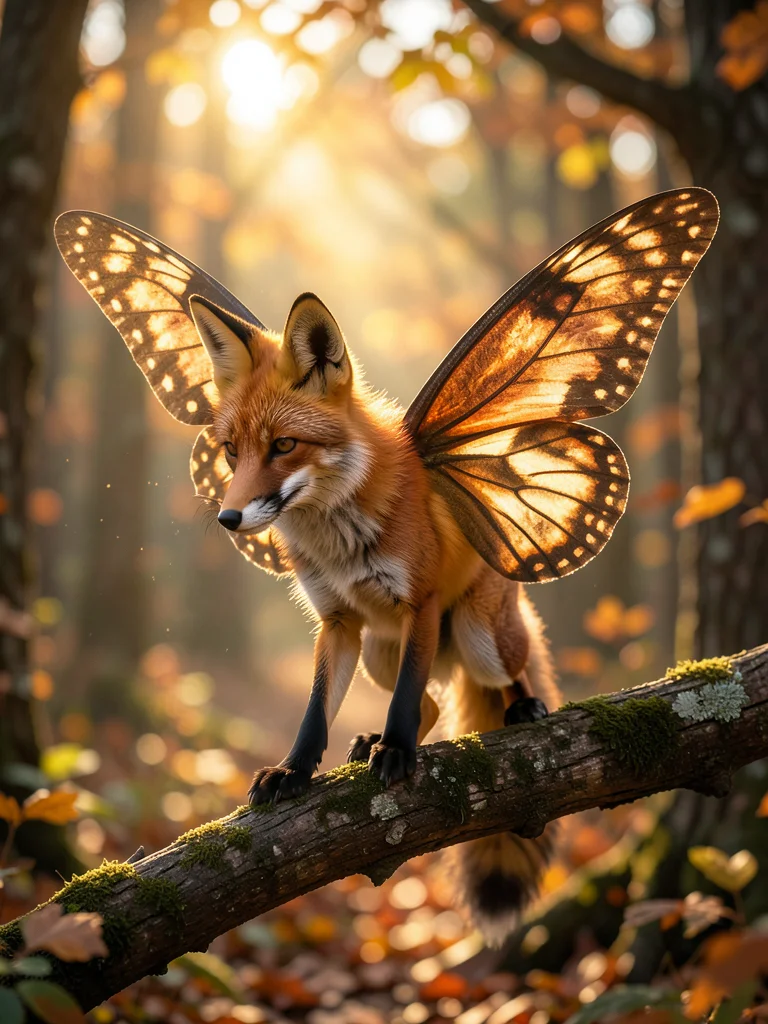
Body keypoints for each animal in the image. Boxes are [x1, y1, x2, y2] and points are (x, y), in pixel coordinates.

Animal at [55, 188, 718, 942]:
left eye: (283, 445)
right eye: (231, 452)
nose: (228, 519)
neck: (338, 543)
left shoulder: (420, 604)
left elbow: (405, 703)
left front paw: (397, 752)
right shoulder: (338, 622)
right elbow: (317, 712)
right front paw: (294, 772)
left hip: (480, 638)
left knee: (499, 676)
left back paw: (523, 709)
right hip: (378, 649)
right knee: (434, 699)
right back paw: (372, 740)